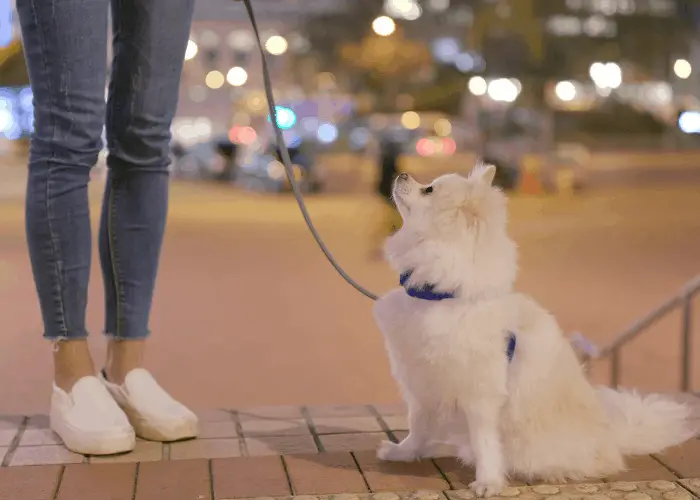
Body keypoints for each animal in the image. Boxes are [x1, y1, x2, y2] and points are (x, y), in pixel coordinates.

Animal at [374, 164, 692, 496]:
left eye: (429, 190)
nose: (402, 174)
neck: (442, 297)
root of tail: (614, 440)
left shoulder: (481, 394)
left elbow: (485, 442)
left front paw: (488, 481)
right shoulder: (420, 382)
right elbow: (418, 424)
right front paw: (403, 452)